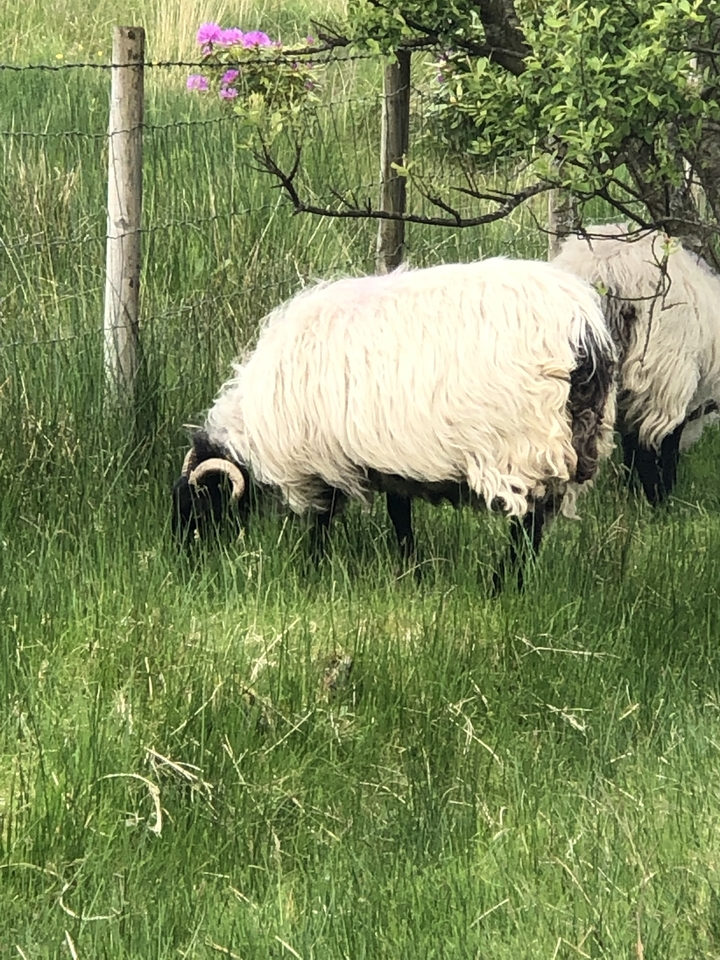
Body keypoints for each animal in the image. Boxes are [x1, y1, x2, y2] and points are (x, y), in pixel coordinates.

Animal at [173, 257, 616, 589]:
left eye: (200, 502)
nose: (183, 558)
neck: (253, 424)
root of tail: (585, 334)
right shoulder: (392, 463)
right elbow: (399, 516)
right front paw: (410, 570)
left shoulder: (324, 462)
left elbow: (321, 521)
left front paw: (311, 569)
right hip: (575, 443)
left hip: (525, 446)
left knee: (527, 526)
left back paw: (502, 585)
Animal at [553, 223, 720, 505]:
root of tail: (606, 272)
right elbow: (663, 441)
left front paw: (630, 486)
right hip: (656, 366)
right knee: (649, 441)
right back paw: (658, 500)